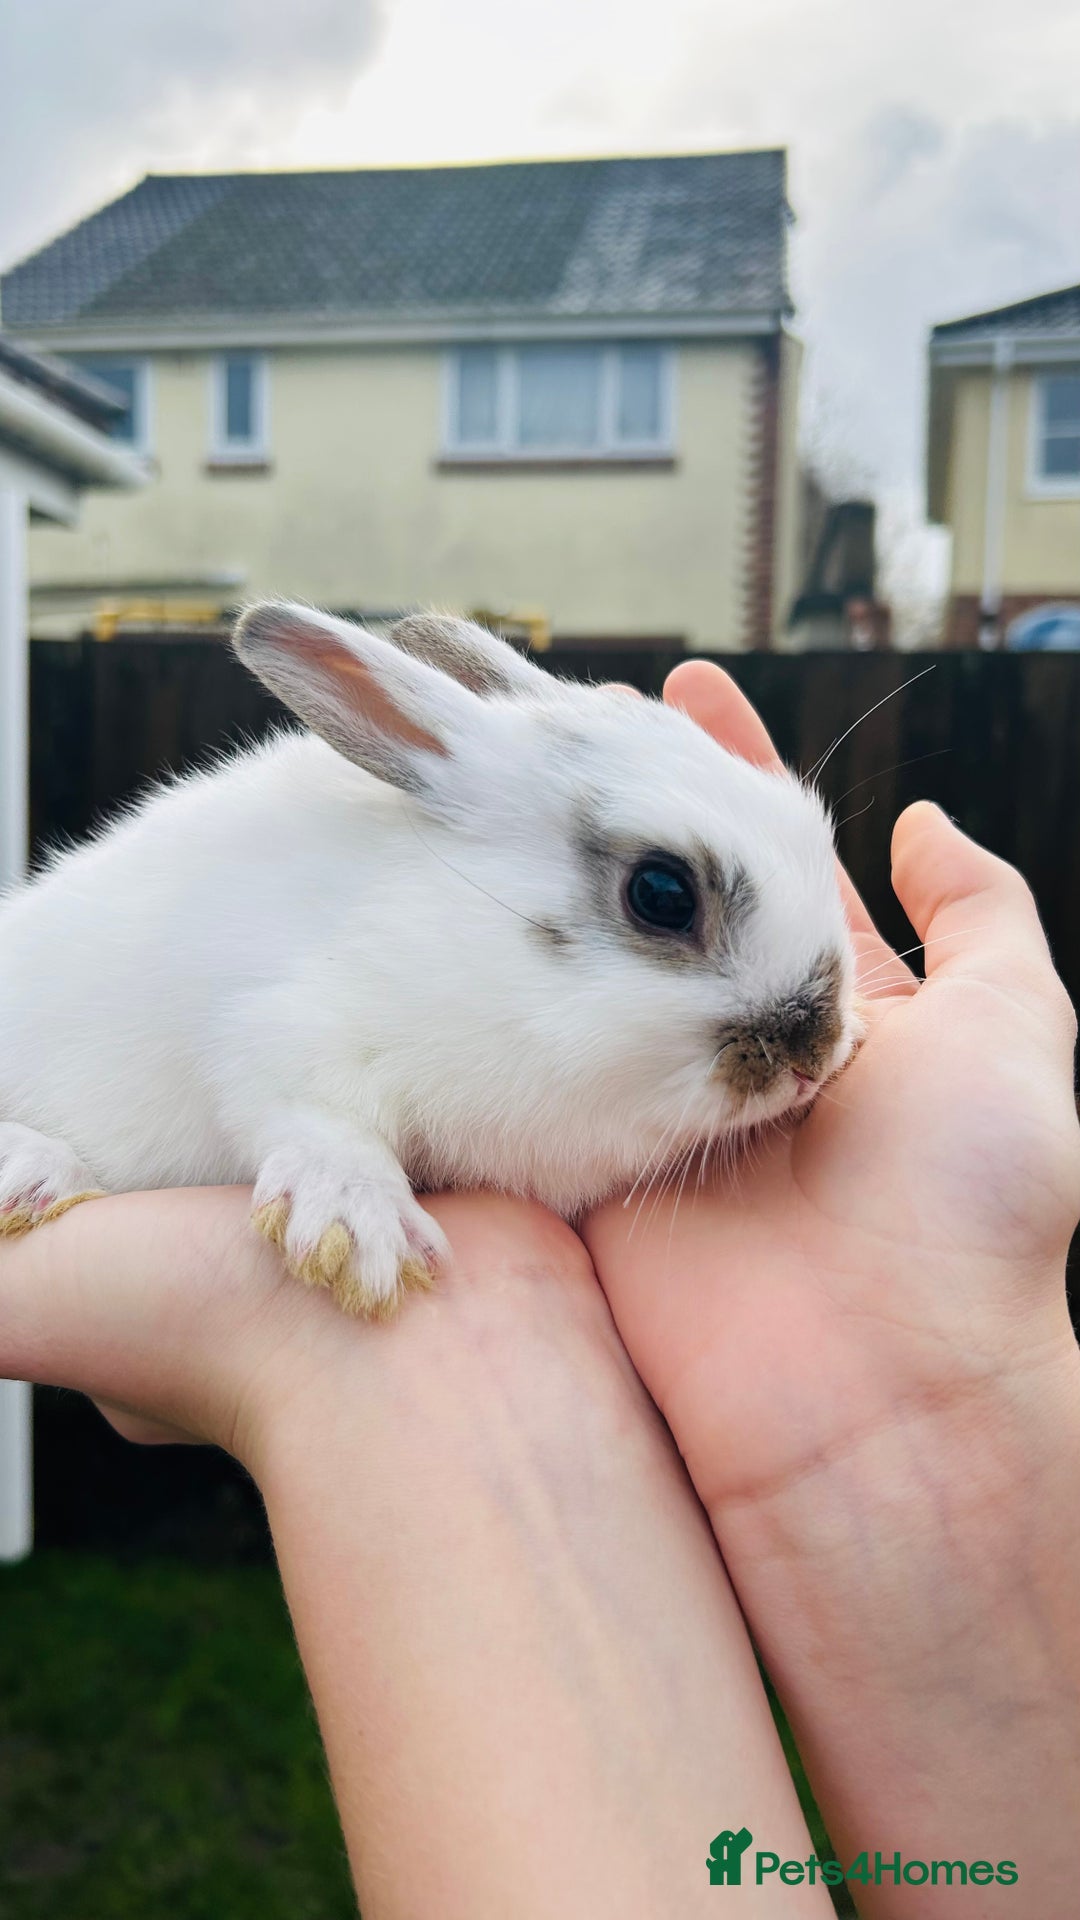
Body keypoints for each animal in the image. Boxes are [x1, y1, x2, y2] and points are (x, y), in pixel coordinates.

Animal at [0, 603, 861, 1317]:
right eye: (661, 893)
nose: (812, 1054)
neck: (461, 939)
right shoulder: (275, 1031)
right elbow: (317, 1119)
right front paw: (360, 1229)